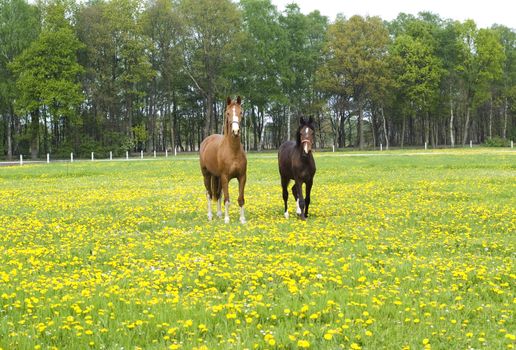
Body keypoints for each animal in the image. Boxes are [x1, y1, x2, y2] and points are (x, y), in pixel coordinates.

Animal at [199, 95, 247, 224]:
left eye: (241, 112)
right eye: (228, 113)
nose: (235, 131)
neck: (233, 151)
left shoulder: (242, 177)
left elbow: (240, 199)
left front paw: (242, 219)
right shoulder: (225, 177)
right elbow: (227, 199)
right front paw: (227, 219)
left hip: (217, 177)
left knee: (218, 193)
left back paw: (219, 213)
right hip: (207, 175)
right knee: (209, 194)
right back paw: (210, 215)